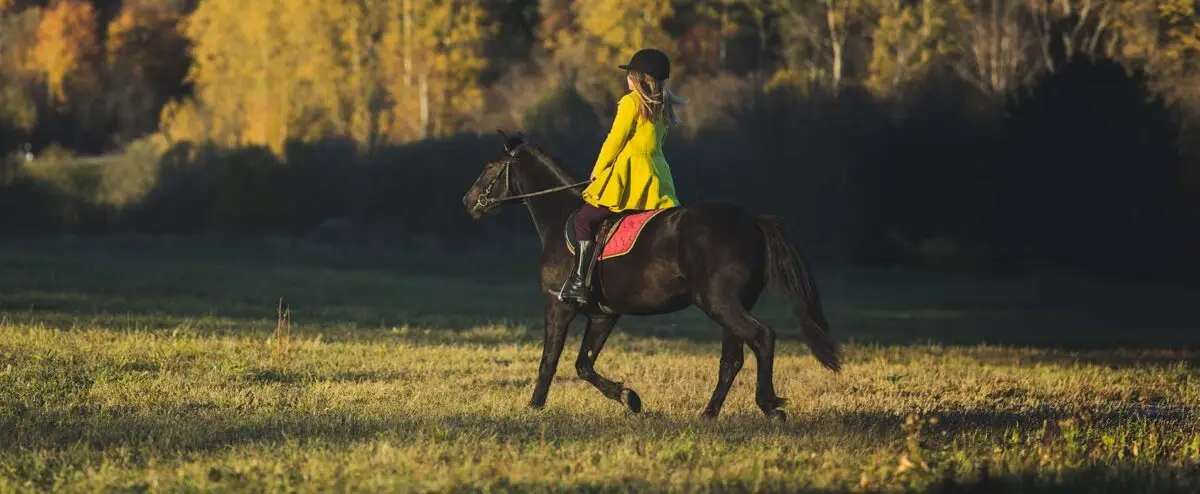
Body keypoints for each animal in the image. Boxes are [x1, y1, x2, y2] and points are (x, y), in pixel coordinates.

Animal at [461, 131, 840, 420]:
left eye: (491, 166)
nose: (467, 201)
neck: (560, 220)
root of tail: (751, 220)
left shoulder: (559, 307)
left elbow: (549, 361)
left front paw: (534, 406)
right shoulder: (604, 315)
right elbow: (584, 364)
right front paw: (628, 397)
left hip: (721, 304)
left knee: (763, 337)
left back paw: (769, 406)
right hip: (729, 307)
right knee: (732, 359)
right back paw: (708, 414)